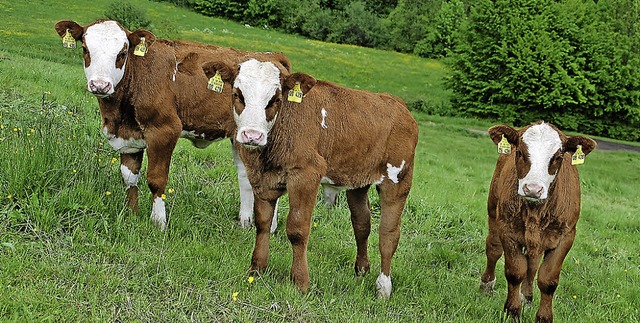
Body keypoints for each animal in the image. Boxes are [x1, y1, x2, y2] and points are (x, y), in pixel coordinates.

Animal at [54, 19, 290, 230]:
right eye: (85, 49)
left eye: (122, 53)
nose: (100, 85)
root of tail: (272, 56)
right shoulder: (128, 136)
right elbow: (129, 177)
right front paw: (132, 213)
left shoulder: (164, 130)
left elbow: (156, 179)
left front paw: (158, 222)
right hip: (241, 137)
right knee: (245, 176)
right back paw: (245, 222)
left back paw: (270, 227)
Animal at [202, 58, 418, 298]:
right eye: (237, 94)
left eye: (275, 99)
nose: (252, 135)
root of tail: (397, 104)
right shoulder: (263, 179)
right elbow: (263, 222)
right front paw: (256, 269)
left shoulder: (306, 175)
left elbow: (297, 229)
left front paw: (300, 282)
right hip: (358, 180)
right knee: (362, 223)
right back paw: (361, 270)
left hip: (398, 179)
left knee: (389, 233)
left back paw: (383, 287)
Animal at [482, 122, 596, 323]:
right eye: (520, 152)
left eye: (558, 157)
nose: (533, 189)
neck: (535, 212)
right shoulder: (507, 230)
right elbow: (515, 272)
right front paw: (512, 311)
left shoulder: (566, 236)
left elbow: (547, 279)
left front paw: (543, 317)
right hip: (493, 211)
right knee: (493, 249)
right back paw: (487, 284)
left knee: (532, 264)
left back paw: (526, 296)